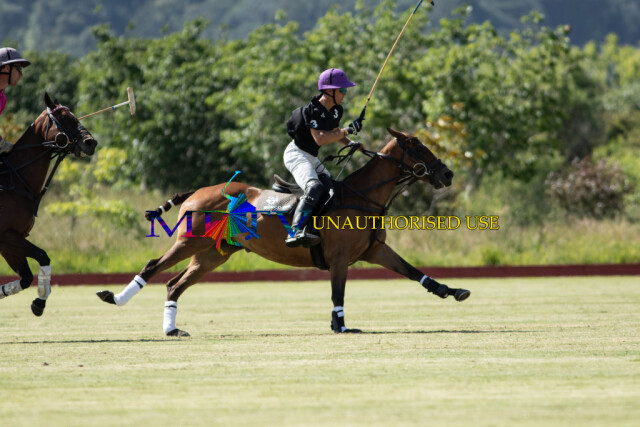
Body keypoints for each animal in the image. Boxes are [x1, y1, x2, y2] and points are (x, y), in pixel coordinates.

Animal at [0, 93, 97, 315]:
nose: (91, 142)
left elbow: (26, 278)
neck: (15, 181)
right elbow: (43, 256)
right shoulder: (6, 235)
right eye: (64, 117)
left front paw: (38, 301)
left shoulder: (11, 240)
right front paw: (39, 302)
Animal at [97, 128, 470, 336]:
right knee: (152, 267)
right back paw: (114, 298)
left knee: (175, 284)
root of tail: (195, 192)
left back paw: (172, 329)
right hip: (190, 241)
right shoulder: (339, 258)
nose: (448, 174)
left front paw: (452, 291)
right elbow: (338, 294)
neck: (361, 197)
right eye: (417, 148)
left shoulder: (373, 251)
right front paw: (340, 325)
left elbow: (414, 271)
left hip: (213, 254)